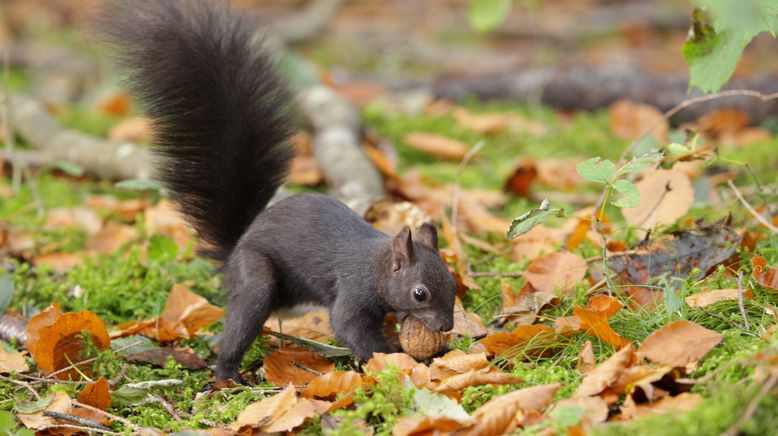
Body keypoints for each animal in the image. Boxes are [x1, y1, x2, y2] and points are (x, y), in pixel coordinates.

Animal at [92, 0, 454, 382]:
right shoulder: (353, 288)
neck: (378, 265)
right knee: (242, 319)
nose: (446, 326)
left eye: (452, 280)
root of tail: (234, 251)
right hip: (256, 279)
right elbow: (349, 326)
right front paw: (391, 355)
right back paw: (228, 374)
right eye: (419, 294)